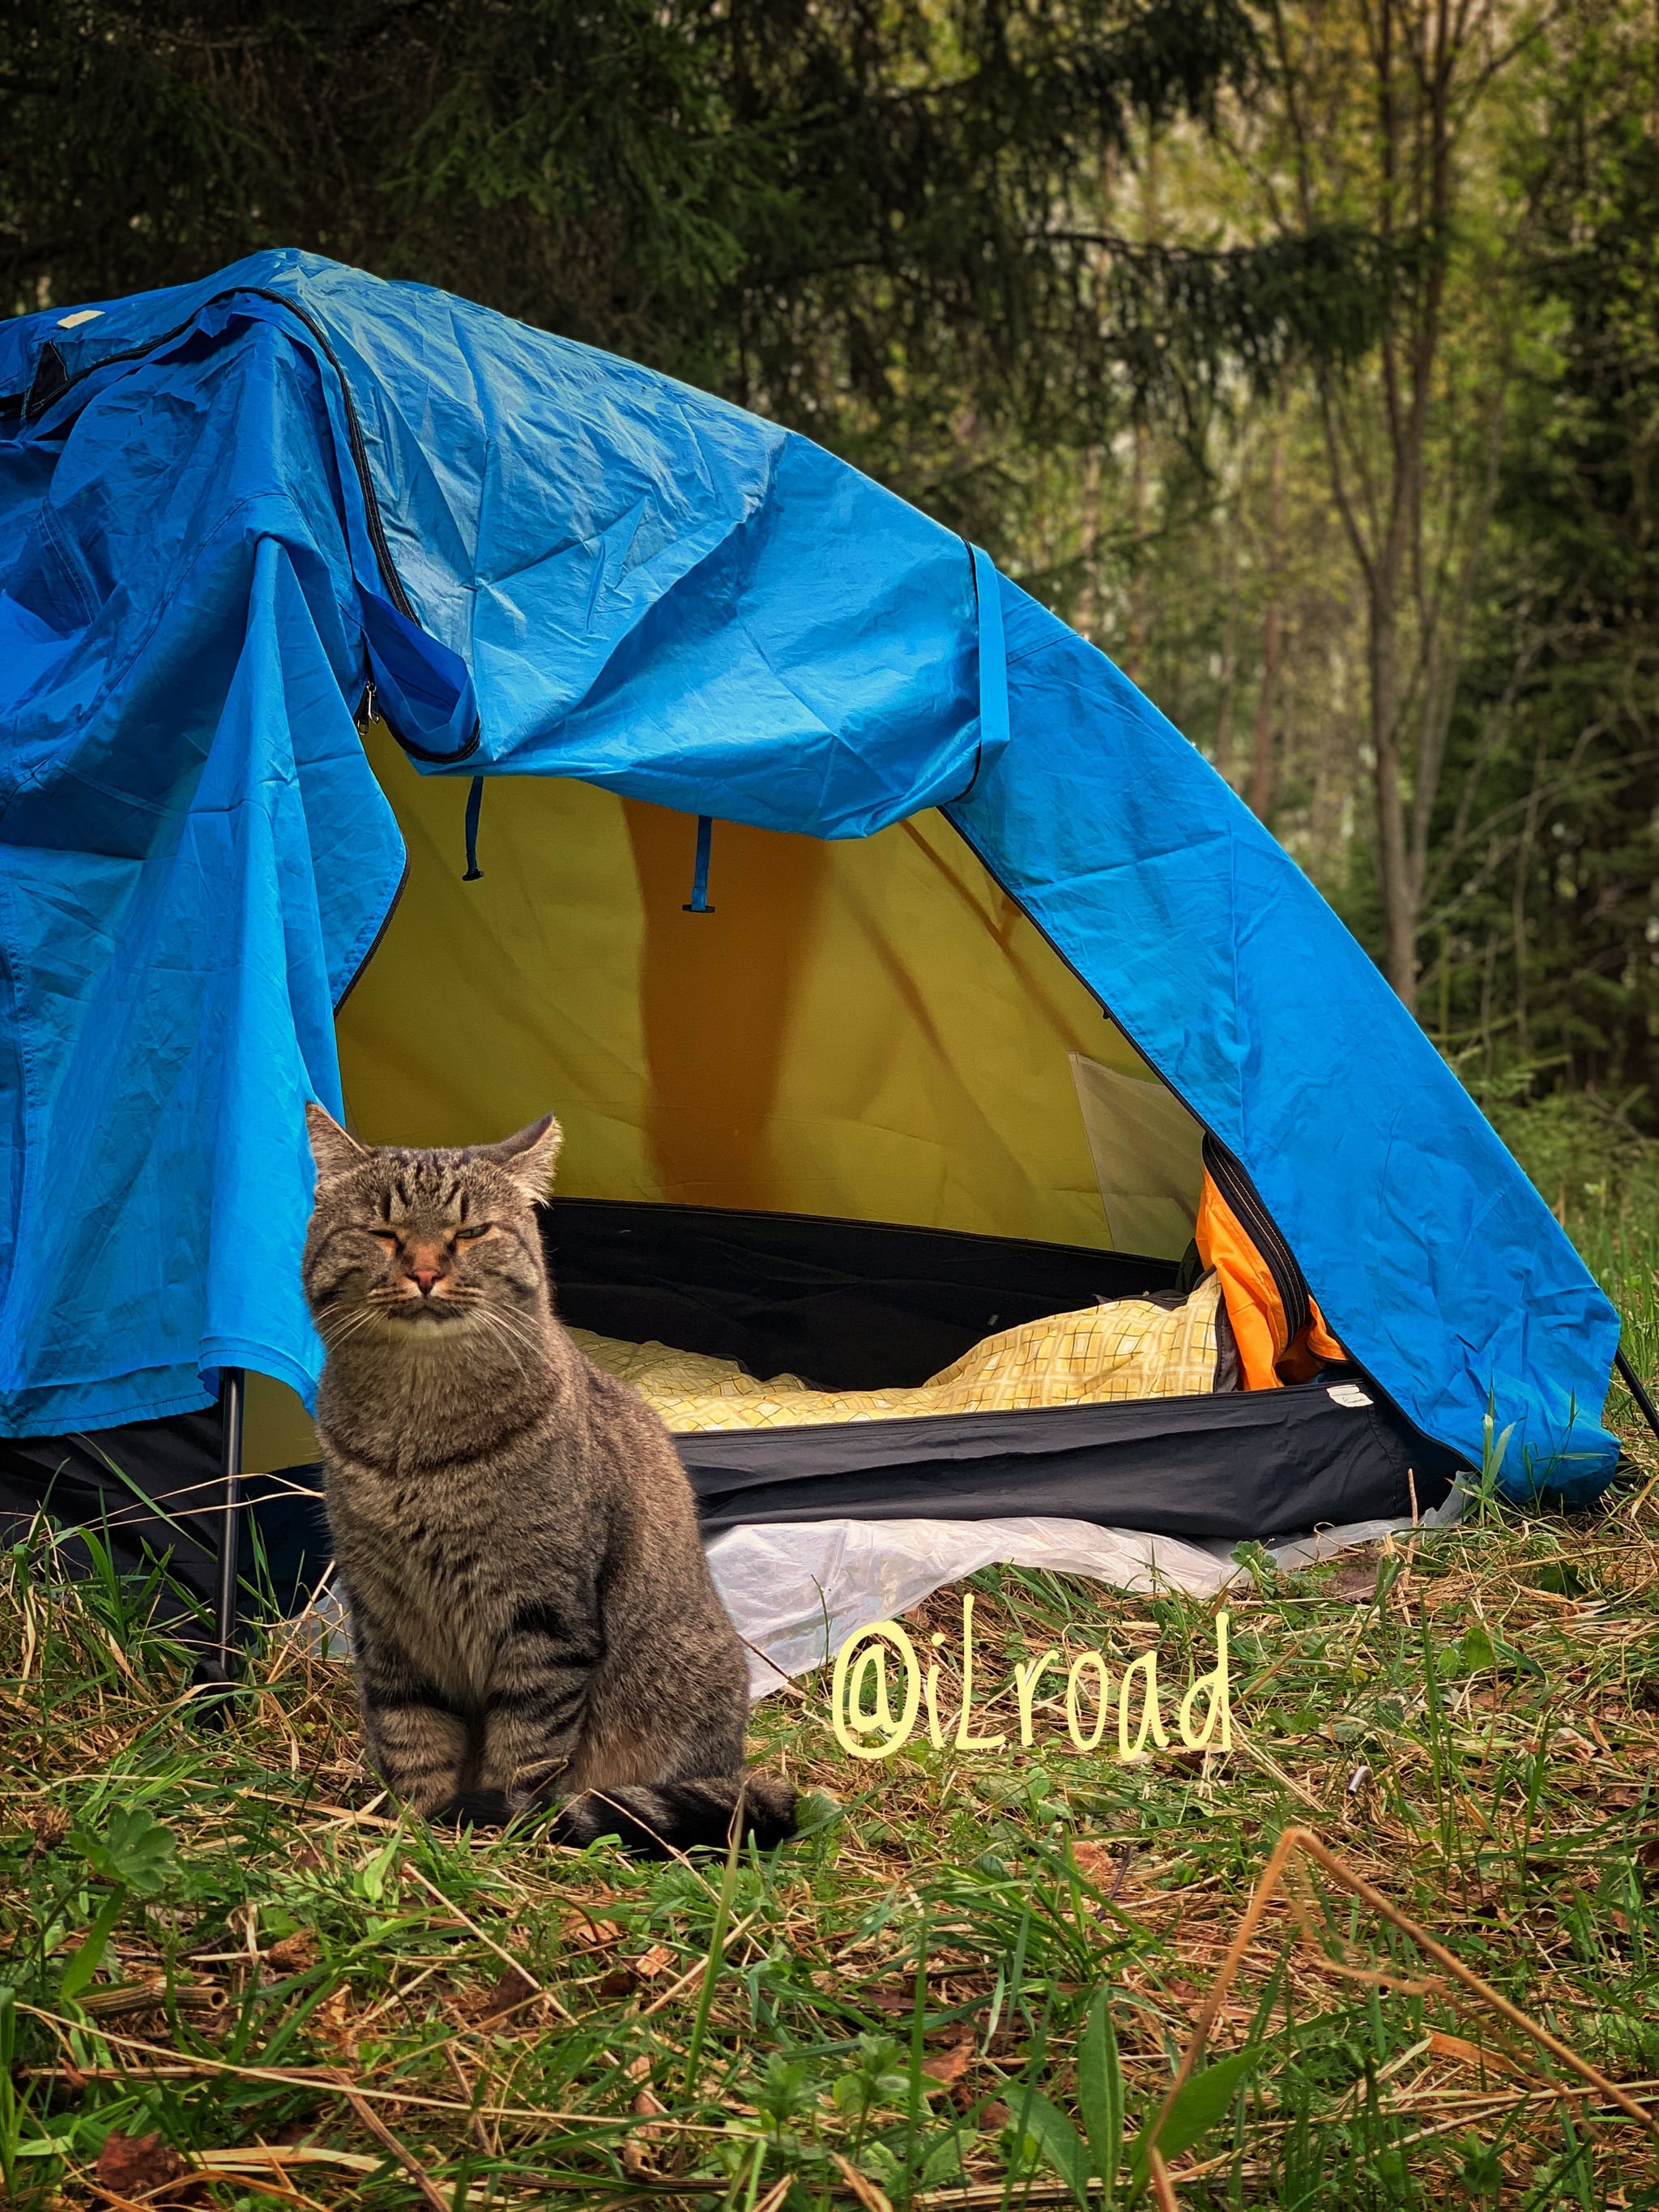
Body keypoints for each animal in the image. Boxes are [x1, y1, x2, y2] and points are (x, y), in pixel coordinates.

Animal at [298, 1101, 800, 1849]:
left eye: (471, 1231)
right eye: (383, 1233)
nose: (425, 1272)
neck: (416, 1440)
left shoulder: (543, 1615)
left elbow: (524, 1749)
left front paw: (497, 1834)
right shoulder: (387, 1615)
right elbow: (410, 1735)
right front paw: (411, 1832)